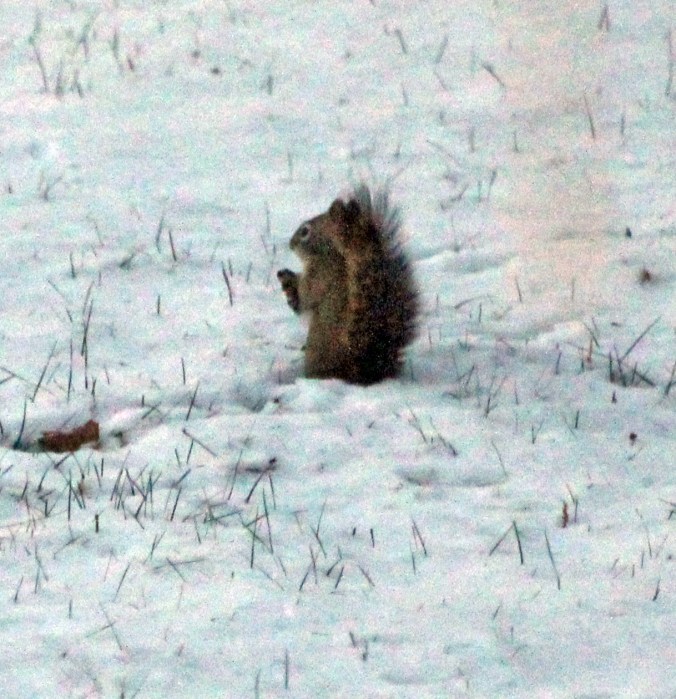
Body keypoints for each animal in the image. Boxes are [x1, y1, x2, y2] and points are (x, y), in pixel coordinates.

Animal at [277, 184, 418, 385]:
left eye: (305, 231)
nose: (291, 244)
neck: (328, 253)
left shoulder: (320, 275)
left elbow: (307, 298)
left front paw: (290, 284)